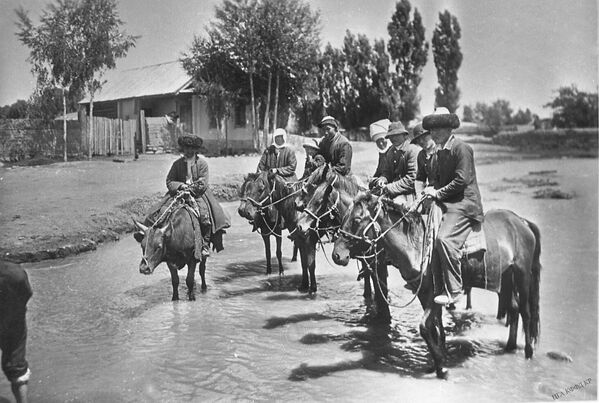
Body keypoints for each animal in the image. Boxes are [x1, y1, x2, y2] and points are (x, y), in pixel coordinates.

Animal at [336, 193, 540, 378]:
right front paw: (437, 362)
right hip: (506, 277)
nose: (337, 255)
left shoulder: (436, 293)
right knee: (514, 308)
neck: (417, 244)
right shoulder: (422, 293)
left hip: (522, 275)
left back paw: (529, 353)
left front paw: (441, 367)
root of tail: (521, 222)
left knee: (526, 312)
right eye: (344, 217)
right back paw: (510, 346)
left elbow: (425, 327)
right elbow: (434, 328)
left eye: (356, 219)